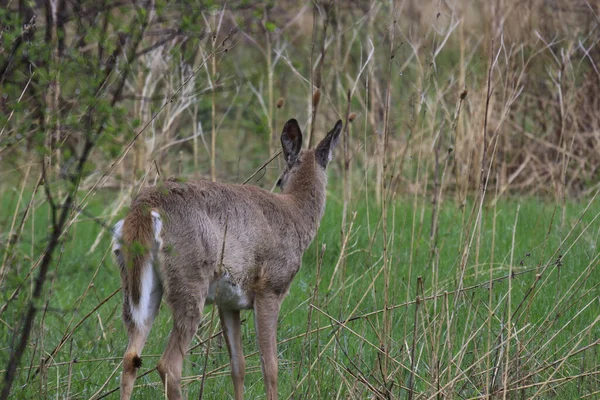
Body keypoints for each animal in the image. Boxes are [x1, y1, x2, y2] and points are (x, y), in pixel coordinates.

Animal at [111, 119, 342, 400]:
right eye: (279, 181)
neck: (295, 214)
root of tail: (144, 208)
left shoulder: (229, 302)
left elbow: (238, 365)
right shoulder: (270, 288)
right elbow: (270, 366)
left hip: (140, 286)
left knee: (130, 357)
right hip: (190, 278)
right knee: (168, 365)